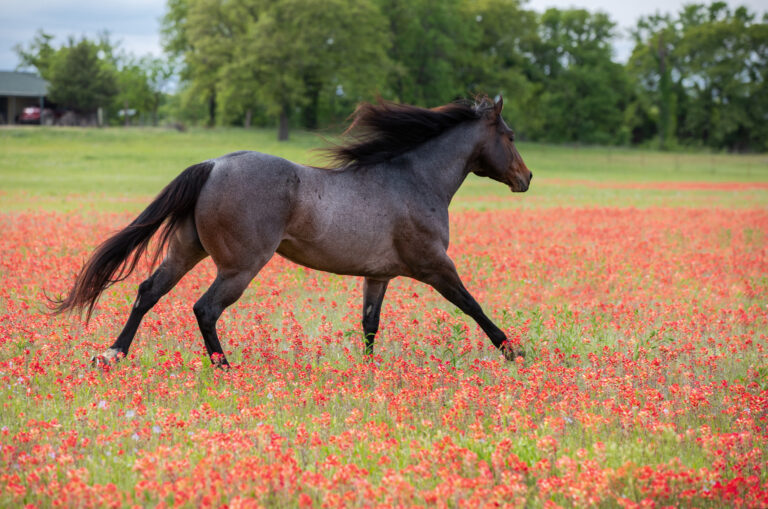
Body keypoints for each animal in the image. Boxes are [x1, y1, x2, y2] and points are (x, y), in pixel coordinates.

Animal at [53, 95, 532, 367]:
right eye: (509, 135)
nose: (526, 178)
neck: (414, 179)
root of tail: (213, 165)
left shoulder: (377, 275)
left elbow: (369, 324)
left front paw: (369, 371)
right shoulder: (435, 266)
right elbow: (472, 305)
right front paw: (513, 351)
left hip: (186, 251)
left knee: (148, 292)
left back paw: (111, 355)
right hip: (240, 267)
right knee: (205, 309)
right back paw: (224, 367)